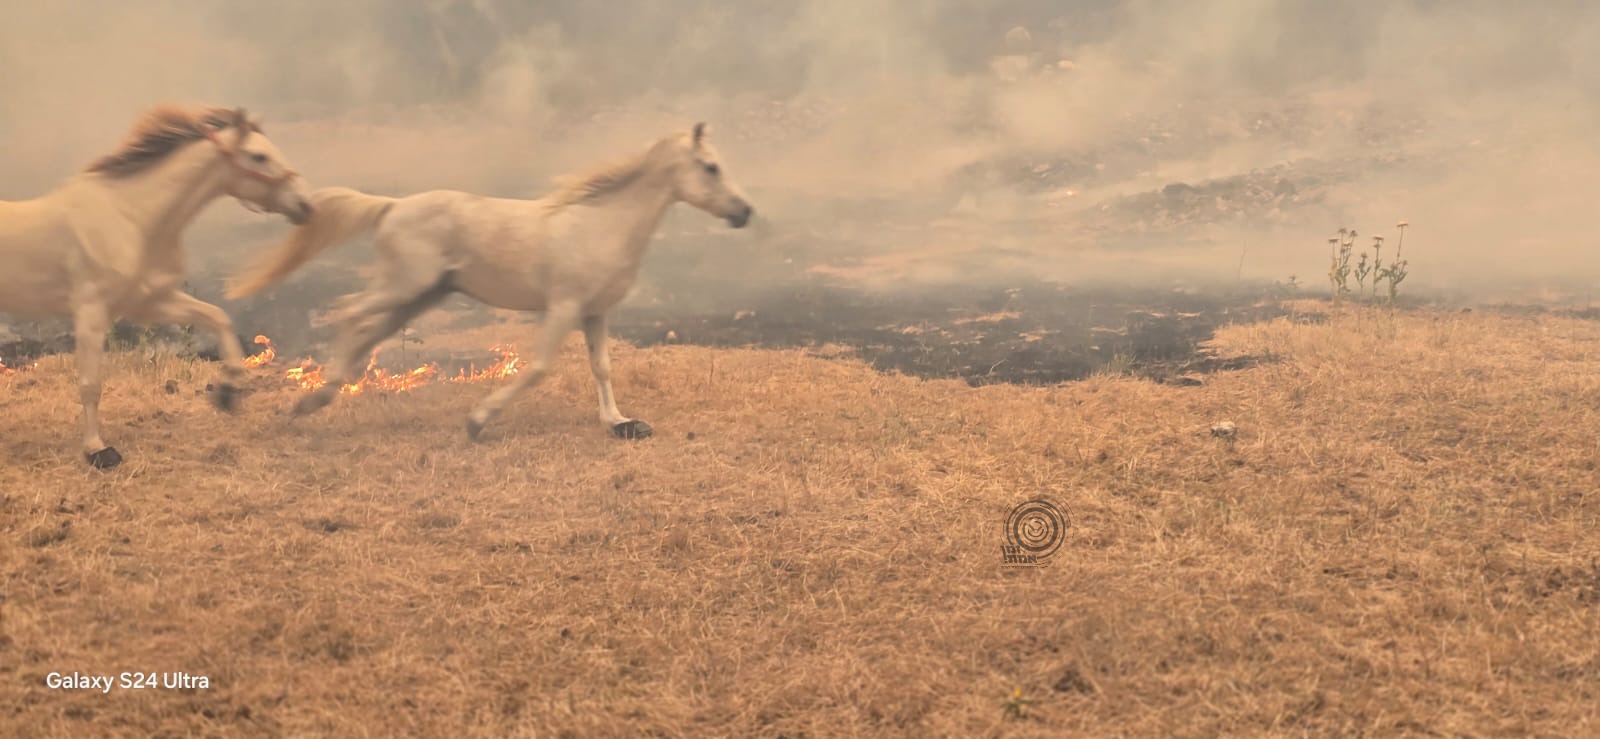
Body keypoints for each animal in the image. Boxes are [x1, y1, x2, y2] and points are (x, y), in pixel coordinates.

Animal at [0, 105, 314, 468]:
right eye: (258, 156)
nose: (306, 205)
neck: (132, 219)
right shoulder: (91, 311)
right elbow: (90, 384)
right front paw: (98, 451)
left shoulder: (149, 302)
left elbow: (218, 317)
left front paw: (227, 393)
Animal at [227, 122, 753, 441]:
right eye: (711, 167)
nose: (744, 212)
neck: (600, 224)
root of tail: (392, 207)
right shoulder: (563, 307)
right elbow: (539, 367)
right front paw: (478, 421)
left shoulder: (595, 311)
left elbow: (601, 367)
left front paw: (621, 423)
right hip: (403, 286)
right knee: (351, 312)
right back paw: (314, 397)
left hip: (421, 296)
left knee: (366, 330)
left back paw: (319, 398)